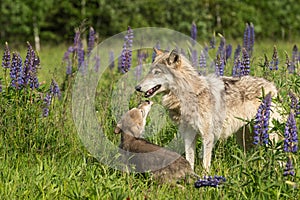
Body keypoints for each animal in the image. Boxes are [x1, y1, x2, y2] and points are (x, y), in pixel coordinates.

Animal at [136, 49, 282, 173]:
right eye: (150, 71)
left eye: (157, 72)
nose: (137, 87)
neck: (189, 96)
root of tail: (272, 86)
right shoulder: (189, 134)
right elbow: (190, 159)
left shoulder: (208, 135)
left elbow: (205, 163)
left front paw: (205, 179)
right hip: (245, 138)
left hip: (270, 135)